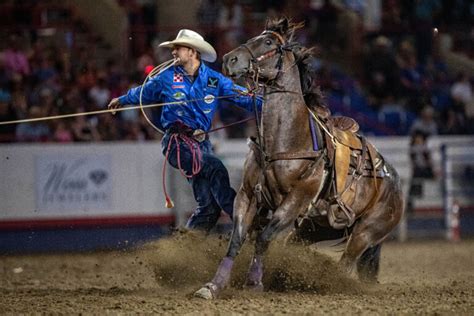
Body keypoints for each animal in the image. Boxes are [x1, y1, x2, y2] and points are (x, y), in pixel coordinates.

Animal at [194, 17, 402, 298]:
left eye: (268, 42)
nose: (229, 59)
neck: (285, 141)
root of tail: (395, 183)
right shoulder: (247, 195)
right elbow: (237, 239)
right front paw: (213, 286)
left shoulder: (295, 201)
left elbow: (263, 238)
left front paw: (254, 283)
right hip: (314, 229)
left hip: (365, 232)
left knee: (346, 262)